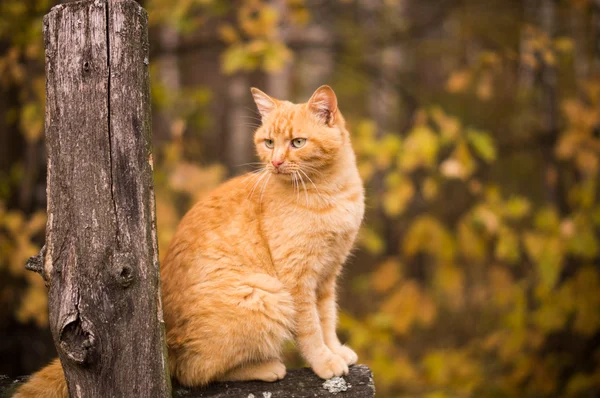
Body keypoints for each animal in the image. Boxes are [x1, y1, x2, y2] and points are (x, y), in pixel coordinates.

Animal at [16, 84, 366, 394]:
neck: (328, 191)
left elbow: (327, 319)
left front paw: (336, 350)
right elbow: (310, 328)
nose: (276, 162)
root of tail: (166, 338)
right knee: (192, 371)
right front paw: (324, 361)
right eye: (268, 142)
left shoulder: (326, 278)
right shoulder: (298, 281)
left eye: (297, 142)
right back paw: (266, 367)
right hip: (266, 295)